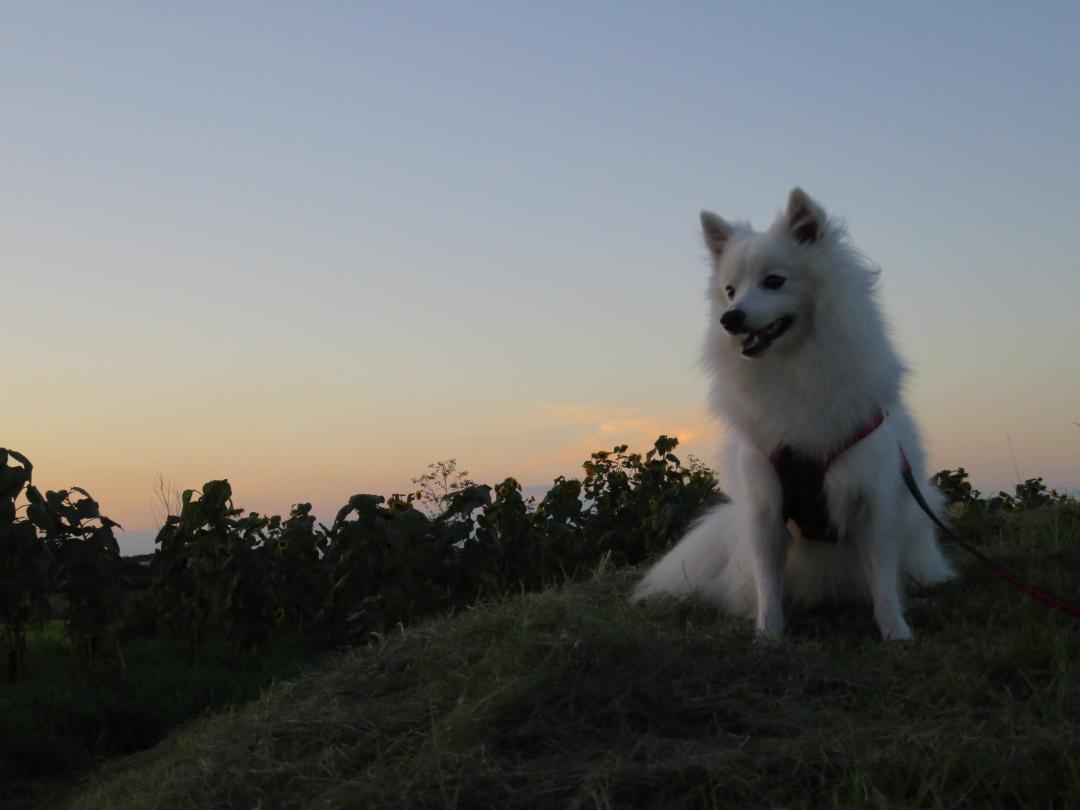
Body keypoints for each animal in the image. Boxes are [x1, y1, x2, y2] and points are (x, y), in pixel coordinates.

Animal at [630, 189, 954, 639]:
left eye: (774, 281)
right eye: (730, 290)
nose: (729, 319)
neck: (794, 370)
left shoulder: (872, 500)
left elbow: (883, 580)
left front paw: (895, 631)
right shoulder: (765, 506)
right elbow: (769, 583)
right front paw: (769, 635)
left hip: (919, 519)